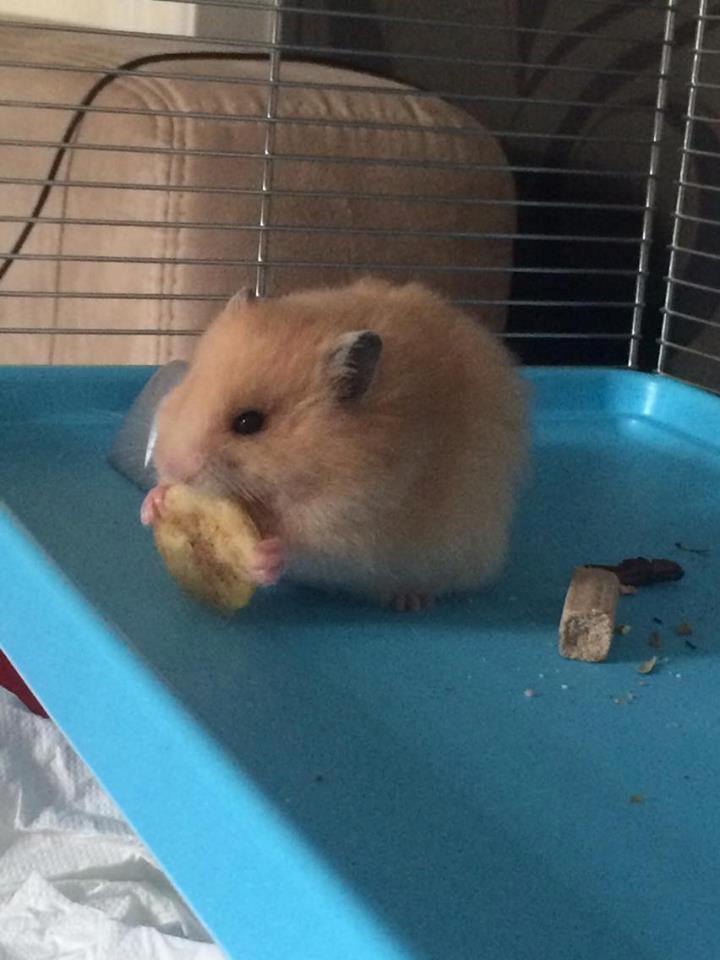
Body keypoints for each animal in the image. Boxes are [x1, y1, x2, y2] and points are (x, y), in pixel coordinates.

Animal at [142, 278, 527, 611]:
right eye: (188, 389)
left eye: (249, 423)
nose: (174, 465)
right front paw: (154, 503)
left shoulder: (351, 526)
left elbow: (301, 544)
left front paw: (263, 555)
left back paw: (410, 601)